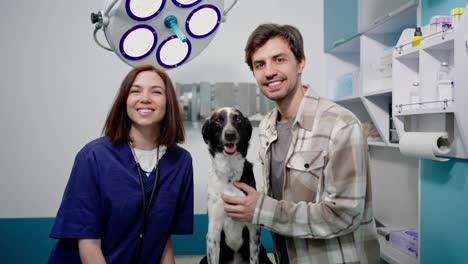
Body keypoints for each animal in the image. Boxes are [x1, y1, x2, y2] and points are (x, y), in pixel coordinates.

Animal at [200, 107, 272, 264]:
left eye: (238, 119)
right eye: (218, 121)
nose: (230, 134)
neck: (230, 174)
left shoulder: (253, 231)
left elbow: (253, 258)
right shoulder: (213, 233)